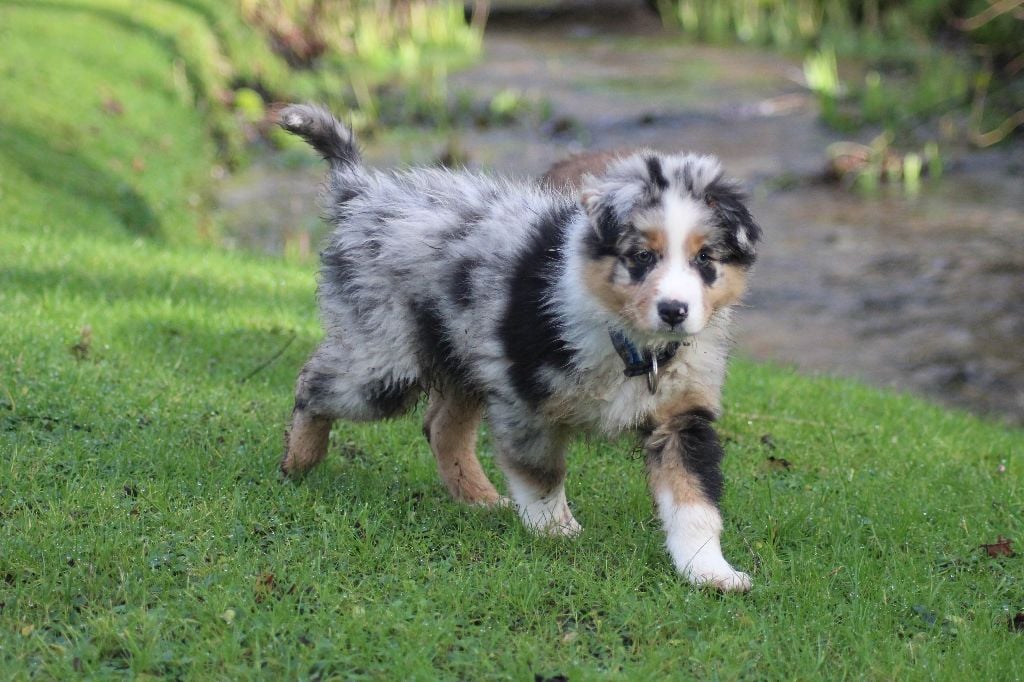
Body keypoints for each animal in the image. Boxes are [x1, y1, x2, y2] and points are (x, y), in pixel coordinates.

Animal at [277, 104, 762, 592]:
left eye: (705, 259)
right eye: (642, 256)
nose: (675, 310)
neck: (633, 345)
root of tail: (362, 193)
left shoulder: (681, 417)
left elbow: (694, 501)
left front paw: (710, 571)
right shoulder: (524, 398)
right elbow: (542, 473)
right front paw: (556, 530)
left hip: (463, 355)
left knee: (441, 427)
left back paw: (480, 499)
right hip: (385, 361)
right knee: (313, 383)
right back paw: (298, 461)